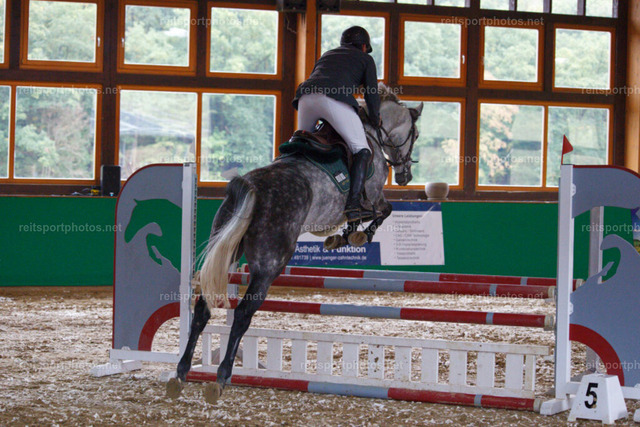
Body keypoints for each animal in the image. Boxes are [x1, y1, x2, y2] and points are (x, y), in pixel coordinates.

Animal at [166, 83, 423, 402]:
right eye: (415, 135)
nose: (405, 175)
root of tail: (251, 185)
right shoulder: (373, 198)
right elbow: (382, 211)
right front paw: (355, 235)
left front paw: (342, 236)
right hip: (269, 265)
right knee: (243, 313)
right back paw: (221, 377)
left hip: (227, 251)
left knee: (202, 309)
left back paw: (181, 373)